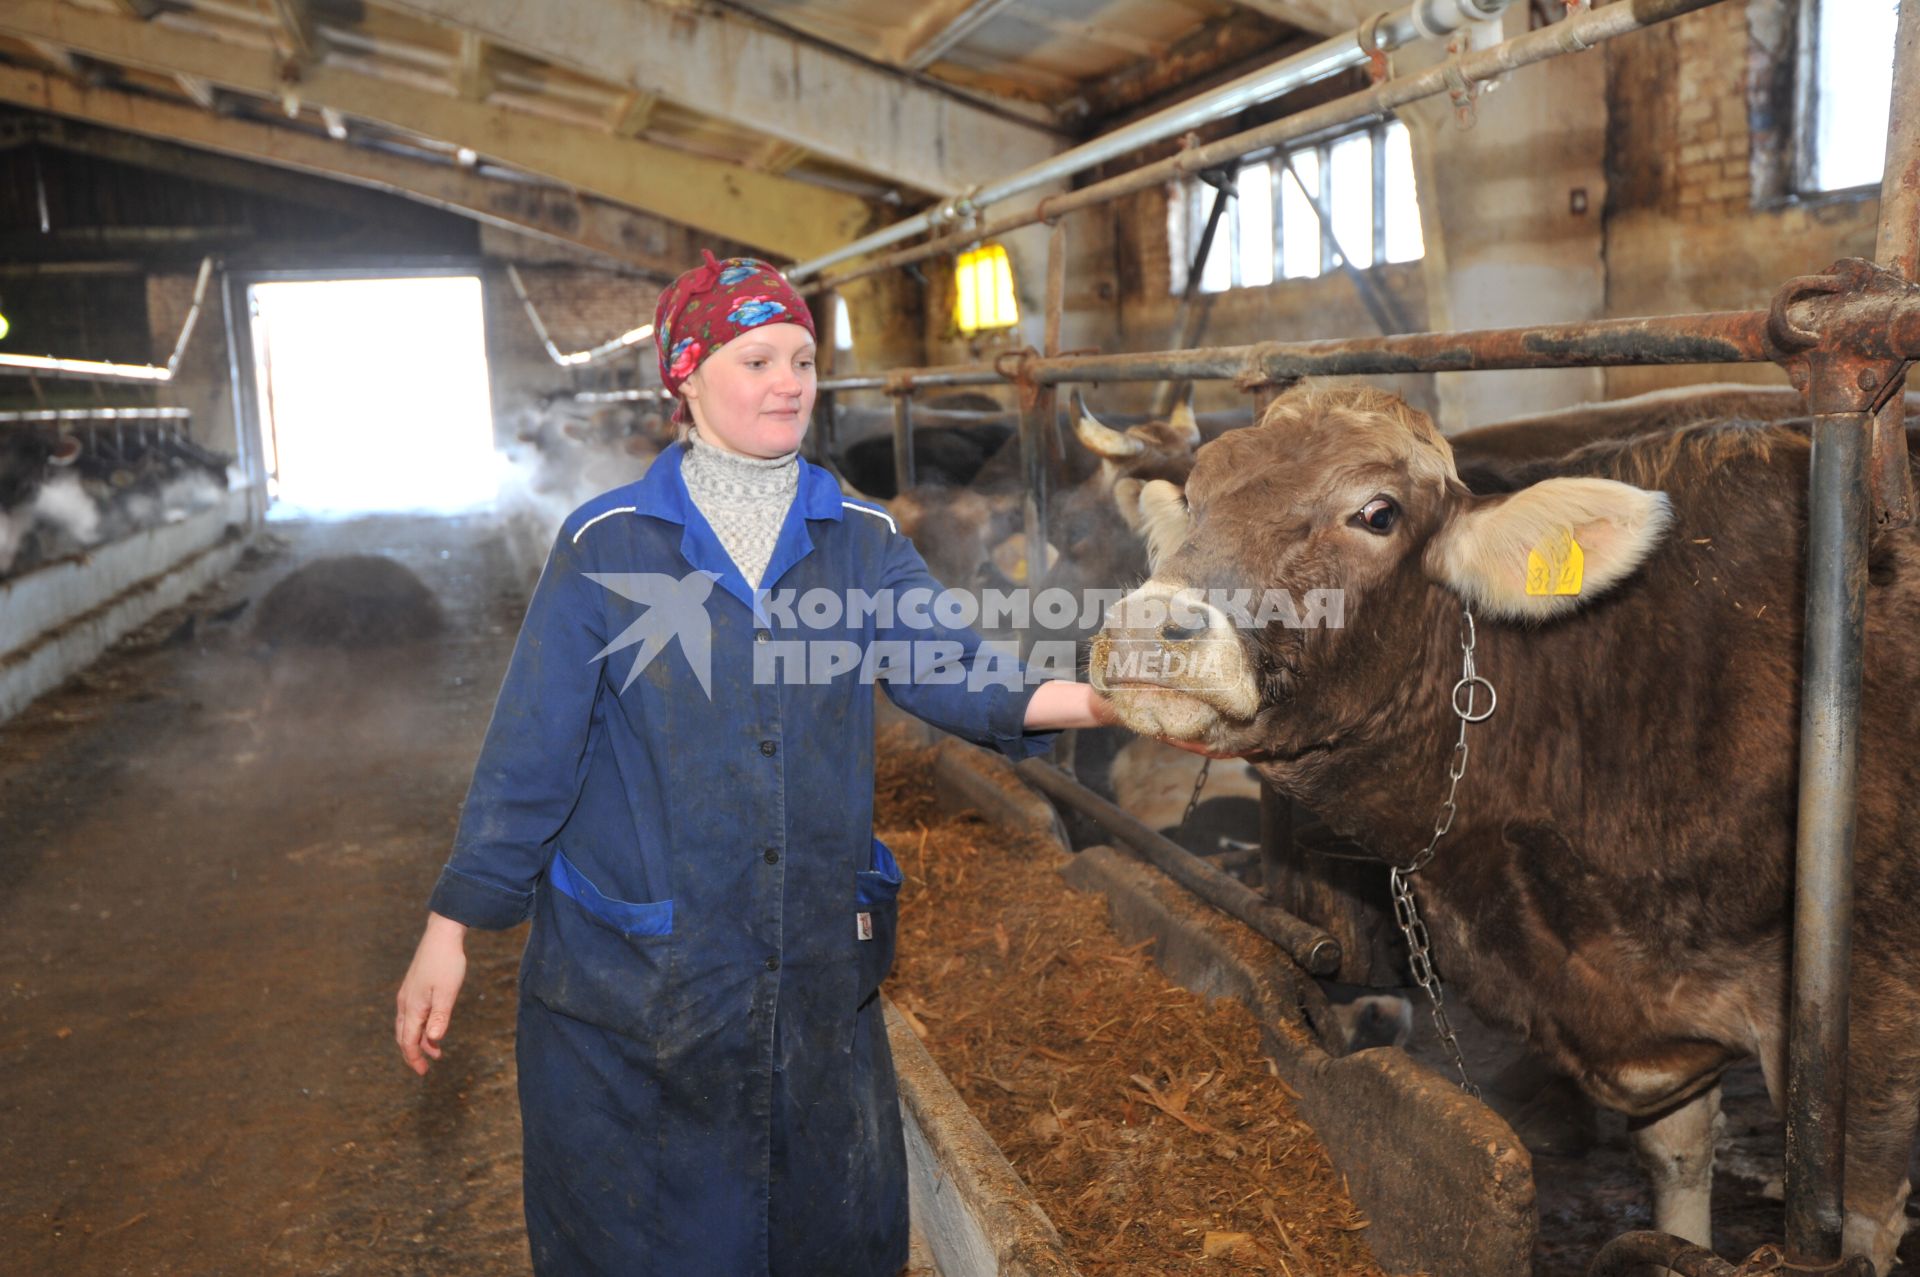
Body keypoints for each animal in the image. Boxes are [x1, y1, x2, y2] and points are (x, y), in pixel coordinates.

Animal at [1090, 384, 1920, 1267]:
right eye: (1197, 496)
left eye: (1378, 513)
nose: (1148, 628)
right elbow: (1677, 1159)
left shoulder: (1870, 1011)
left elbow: (1862, 1228)